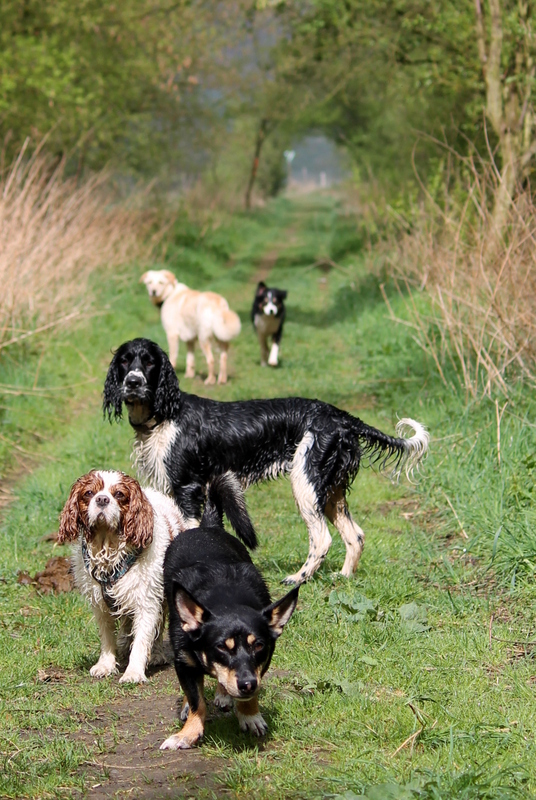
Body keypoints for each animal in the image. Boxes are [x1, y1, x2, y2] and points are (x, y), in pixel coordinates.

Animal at [161, 478, 300, 752]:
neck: (225, 595)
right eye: (221, 647)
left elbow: (250, 692)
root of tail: (208, 525)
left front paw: (249, 715)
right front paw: (188, 733)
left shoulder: (262, 664)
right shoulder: (183, 661)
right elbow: (196, 700)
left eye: (259, 646)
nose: (247, 684)